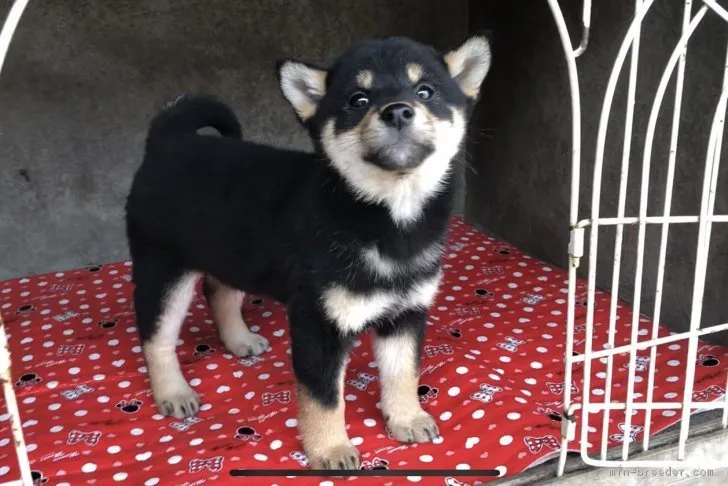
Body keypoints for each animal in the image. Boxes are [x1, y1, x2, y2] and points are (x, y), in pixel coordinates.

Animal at [125, 33, 492, 468]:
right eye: (357, 100)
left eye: (425, 91)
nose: (398, 111)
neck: (387, 216)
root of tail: (167, 140)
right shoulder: (319, 324)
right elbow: (324, 398)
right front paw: (330, 449)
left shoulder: (406, 313)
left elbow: (403, 373)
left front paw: (407, 417)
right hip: (163, 269)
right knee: (157, 337)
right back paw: (173, 392)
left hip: (232, 254)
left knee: (219, 292)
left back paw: (239, 340)